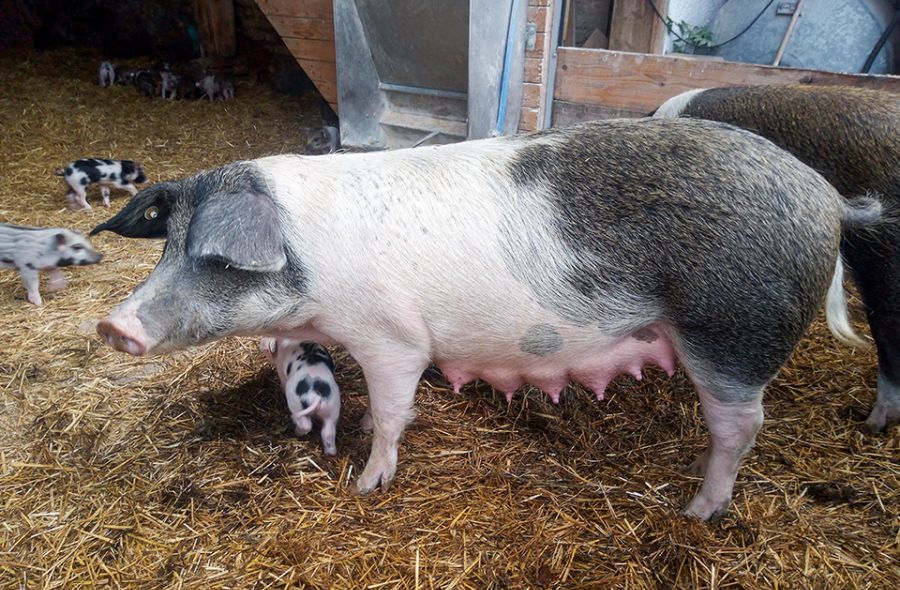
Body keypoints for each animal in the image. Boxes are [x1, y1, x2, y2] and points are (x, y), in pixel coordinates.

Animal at [92, 117, 880, 521]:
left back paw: (697, 510)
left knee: (743, 424)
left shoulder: (392, 338)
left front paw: (367, 485)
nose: (112, 326)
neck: (314, 271)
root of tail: (828, 199)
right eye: (167, 243)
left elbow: (393, 412)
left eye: (214, 259)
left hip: (734, 332)